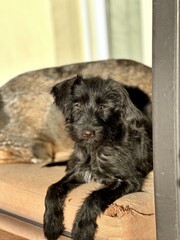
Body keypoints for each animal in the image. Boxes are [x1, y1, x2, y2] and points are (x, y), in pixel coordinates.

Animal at [43, 75, 153, 240]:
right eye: (77, 105)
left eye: (103, 107)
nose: (87, 133)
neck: (94, 151)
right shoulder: (78, 172)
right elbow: (52, 188)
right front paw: (51, 224)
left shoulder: (129, 181)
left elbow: (95, 196)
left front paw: (82, 229)